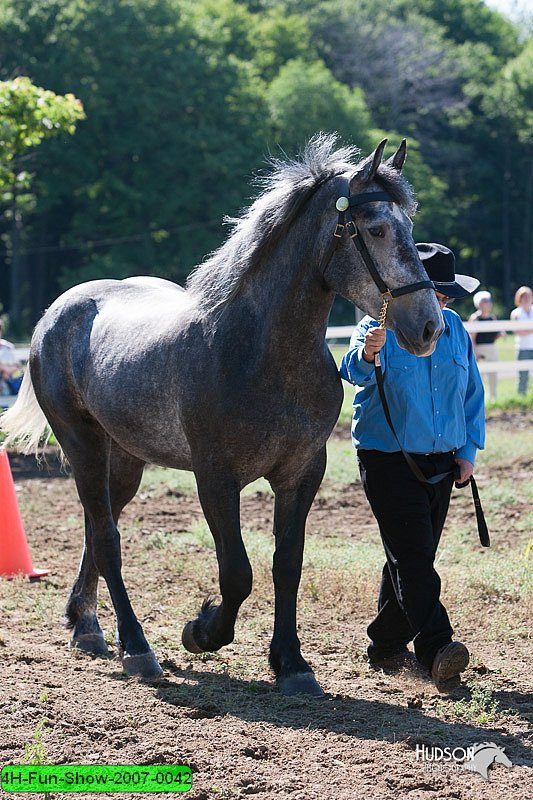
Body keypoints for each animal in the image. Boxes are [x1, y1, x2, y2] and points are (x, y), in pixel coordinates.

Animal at [1, 136, 440, 692]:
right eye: (378, 229)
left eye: (411, 228)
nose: (428, 326)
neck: (261, 351)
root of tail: (57, 313)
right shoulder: (214, 476)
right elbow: (236, 572)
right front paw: (202, 632)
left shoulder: (302, 472)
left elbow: (286, 564)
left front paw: (292, 664)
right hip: (82, 445)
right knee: (107, 539)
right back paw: (137, 649)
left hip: (125, 459)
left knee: (96, 528)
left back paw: (86, 626)